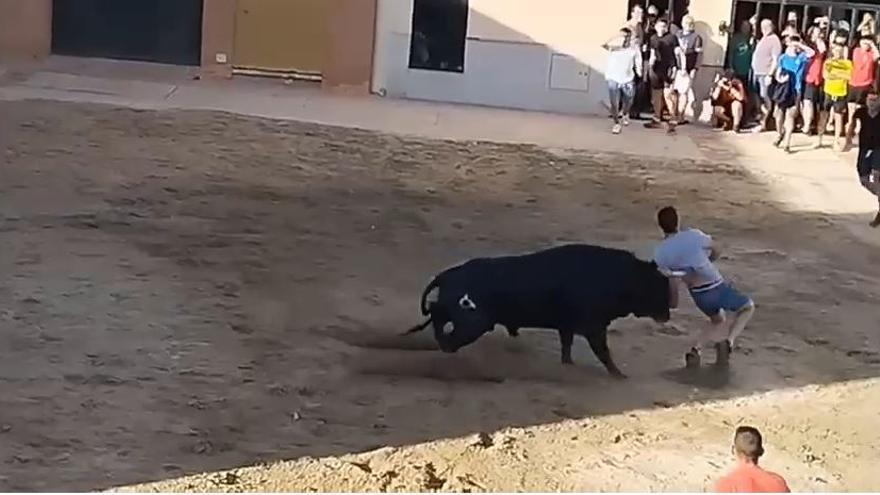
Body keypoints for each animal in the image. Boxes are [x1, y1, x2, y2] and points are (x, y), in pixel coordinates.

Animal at [406, 244, 672, 380]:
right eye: (657, 287)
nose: (668, 314)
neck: (621, 276)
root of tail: (449, 273)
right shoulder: (594, 327)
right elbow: (603, 351)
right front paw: (618, 374)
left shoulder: (568, 326)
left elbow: (567, 346)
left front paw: (568, 364)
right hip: (473, 323)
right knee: (442, 323)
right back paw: (444, 349)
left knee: (437, 315)